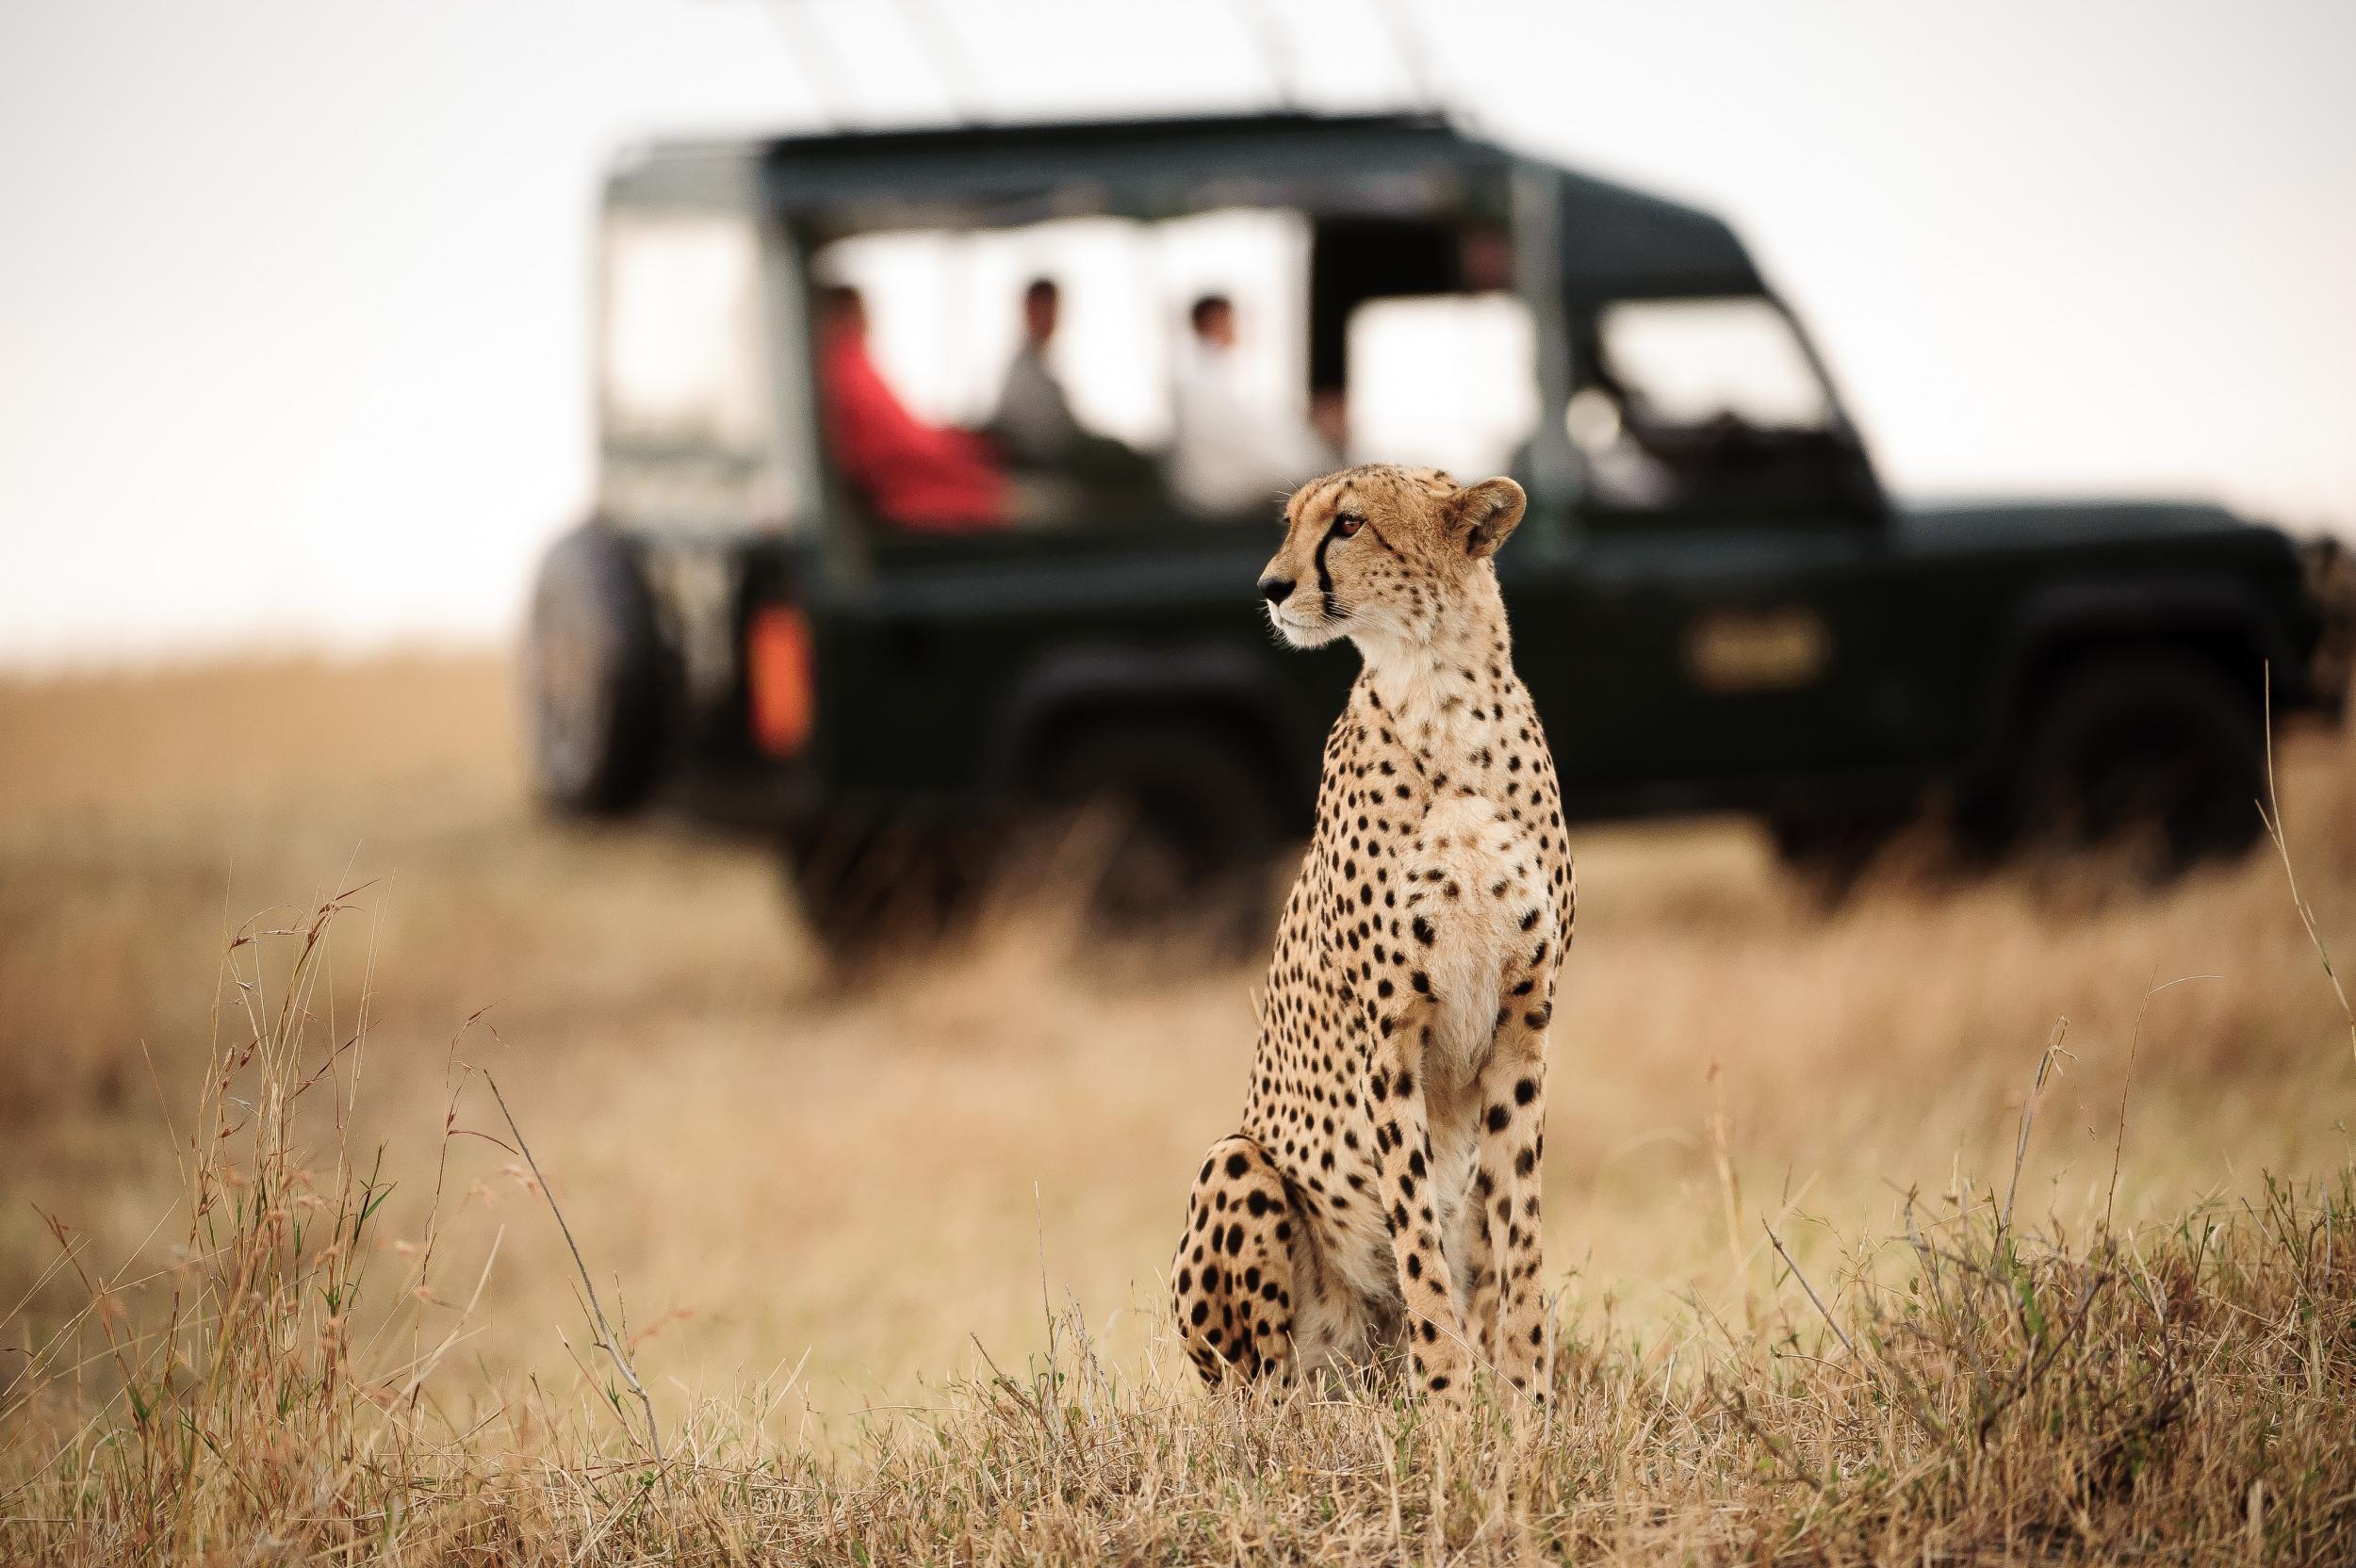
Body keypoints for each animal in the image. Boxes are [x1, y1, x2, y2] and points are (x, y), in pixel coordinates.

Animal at [1173, 461, 1574, 1394]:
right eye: (1290, 524)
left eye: (1349, 524)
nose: (1271, 586)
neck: (1442, 697)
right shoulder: (1389, 1037)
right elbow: (1418, 1239)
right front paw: (1451, 1404)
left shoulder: (1526, 1021)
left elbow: (1522, 1230)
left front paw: (1526, 1398)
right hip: (1236, 1165)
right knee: (1259, 1386)